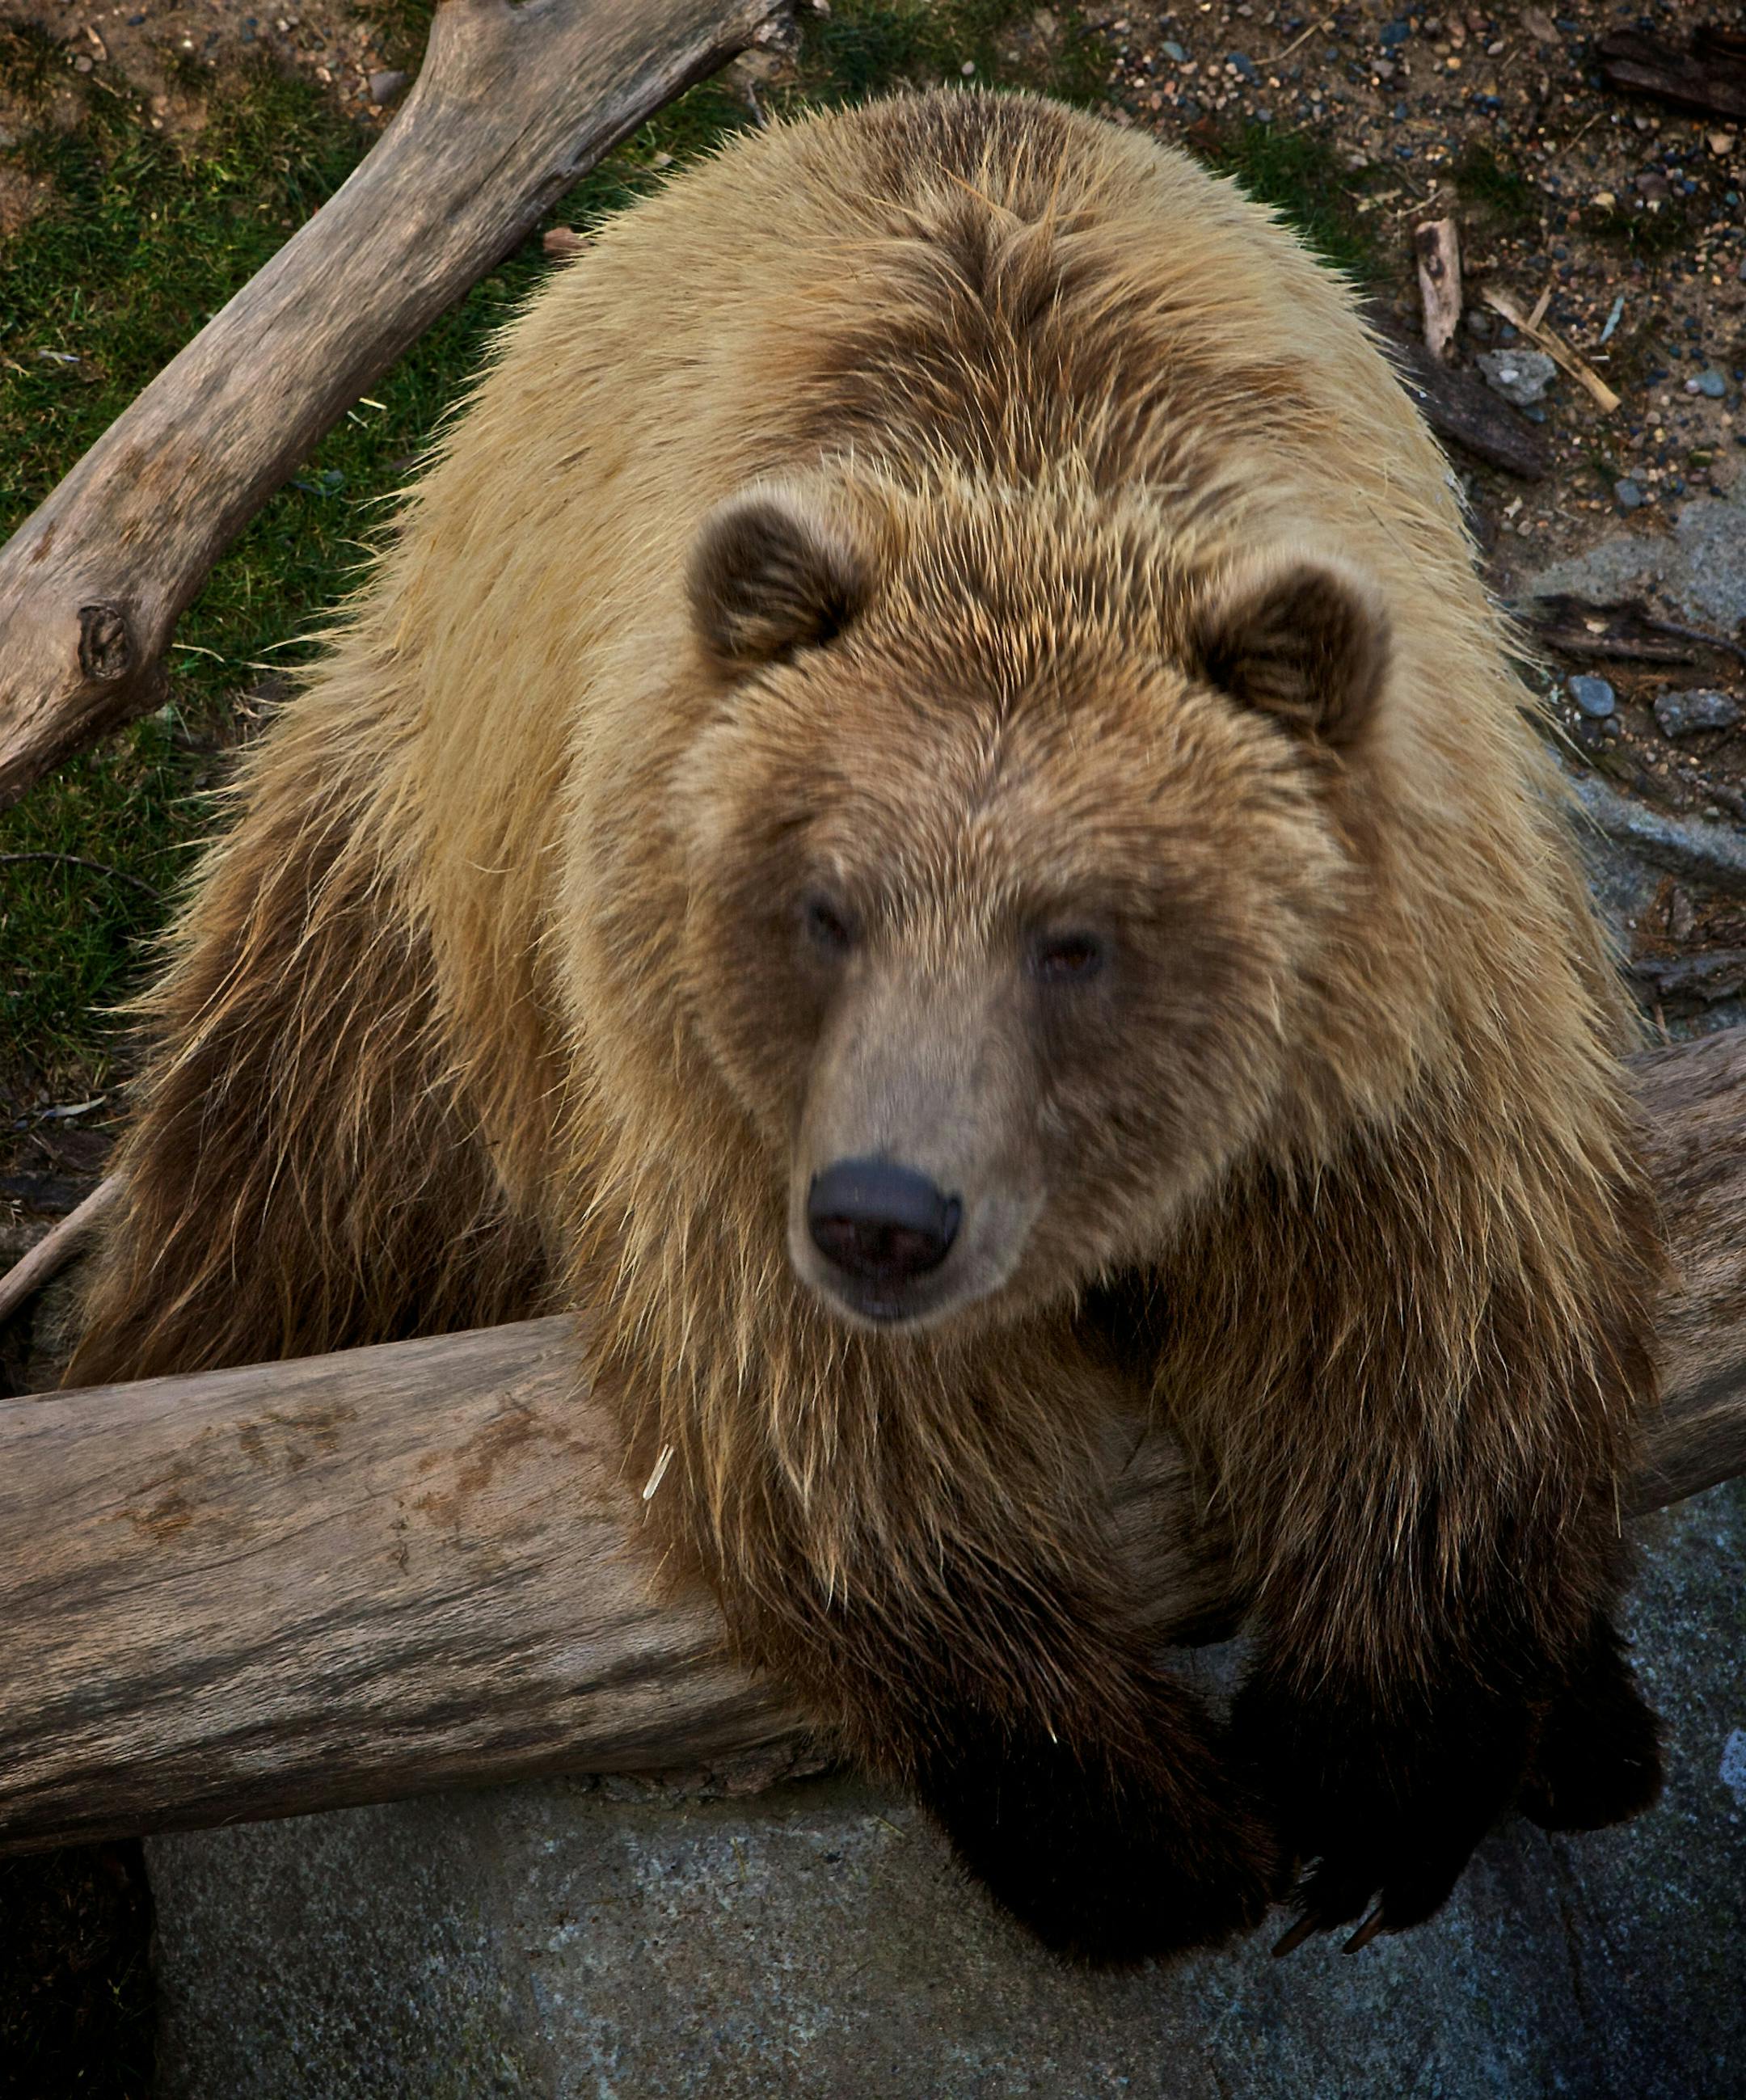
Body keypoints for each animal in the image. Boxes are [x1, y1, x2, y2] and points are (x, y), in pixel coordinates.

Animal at [68, 89, 1665, 1964]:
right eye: (821, 908)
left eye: (1078, 942)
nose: (888, 1219)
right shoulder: (702, 1092)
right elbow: (844, 1451)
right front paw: (1146, 1837)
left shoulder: (1406, 1044)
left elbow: (1441, 1345)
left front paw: (1379, 1779)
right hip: (416, 885)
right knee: (276, 1181)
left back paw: (1593, 1724)